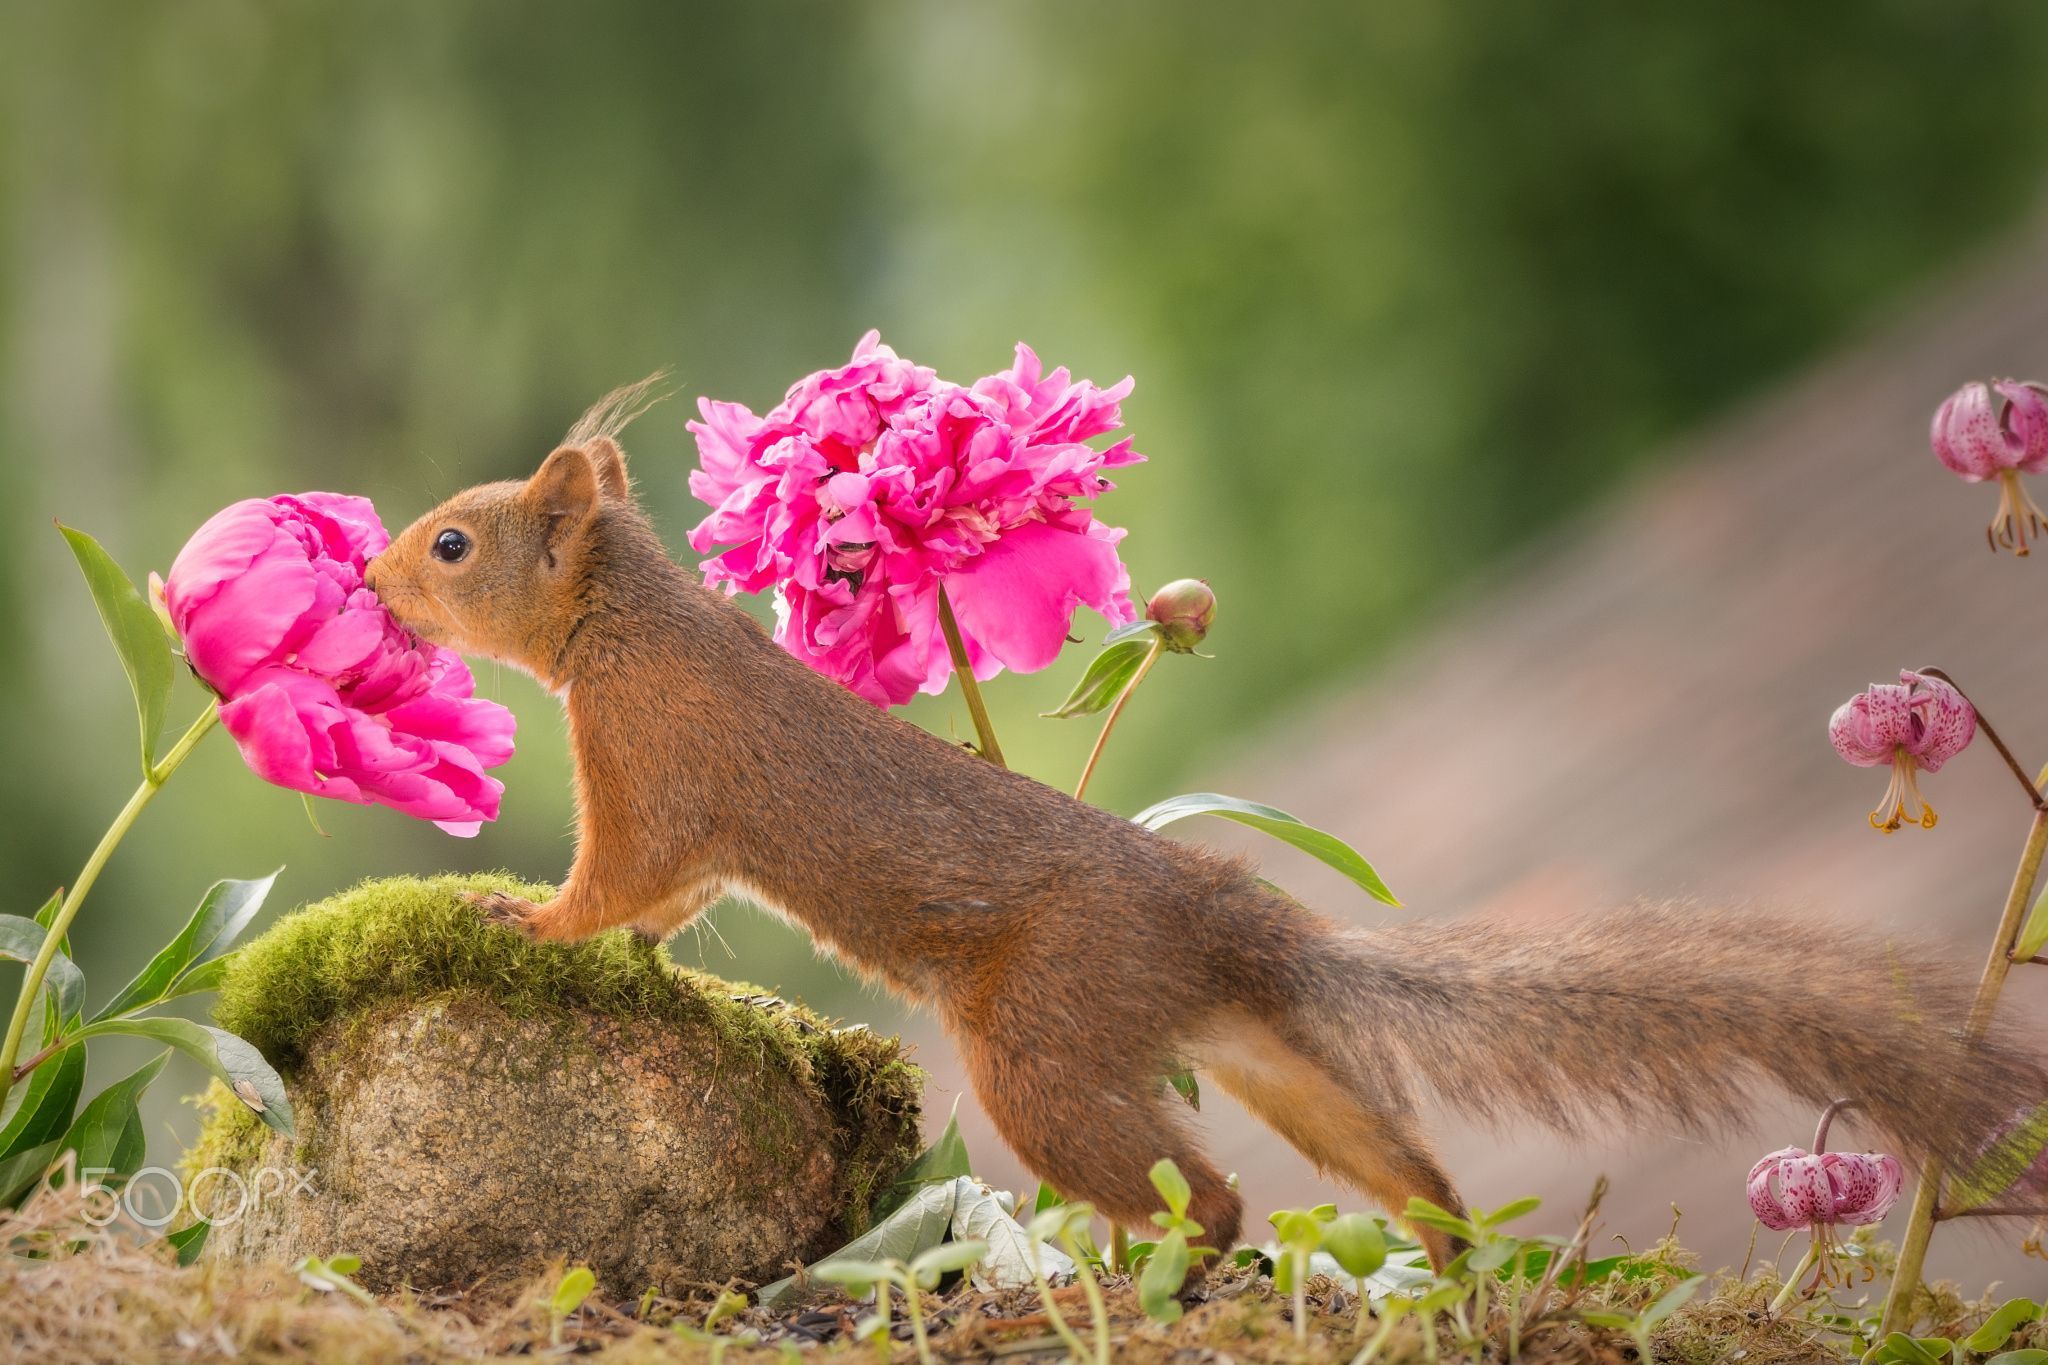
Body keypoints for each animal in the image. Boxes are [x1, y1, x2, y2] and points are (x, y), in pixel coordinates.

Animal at [365, 380, 2046, 1269]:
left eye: (452, 543)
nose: (373, 578)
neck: (625, 626)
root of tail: (1230, 927)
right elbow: (657, 910)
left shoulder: (650, 764)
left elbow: (619, 880)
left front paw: (519, 917)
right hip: (1255, 1058)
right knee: (1384, 1167)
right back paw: (1445, 1265)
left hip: (1041, 1047)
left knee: (1214, 1193)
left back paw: (1164, 1272)